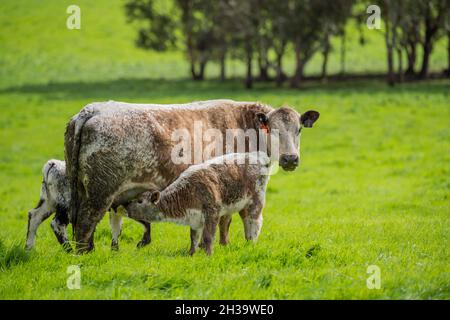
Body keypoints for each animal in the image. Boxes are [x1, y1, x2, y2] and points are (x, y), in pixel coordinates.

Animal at [125, 151, 270, 256]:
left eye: (140, 201)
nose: (125, 206)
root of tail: (259, 156)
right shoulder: (195, 219)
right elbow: (194, 238)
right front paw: (191, 254)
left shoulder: (212, 213)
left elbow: (208, 237)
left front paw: (208, 255)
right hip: (242, 205)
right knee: (242, 221)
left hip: (256, 200)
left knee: (255, 222)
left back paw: (251, 243)